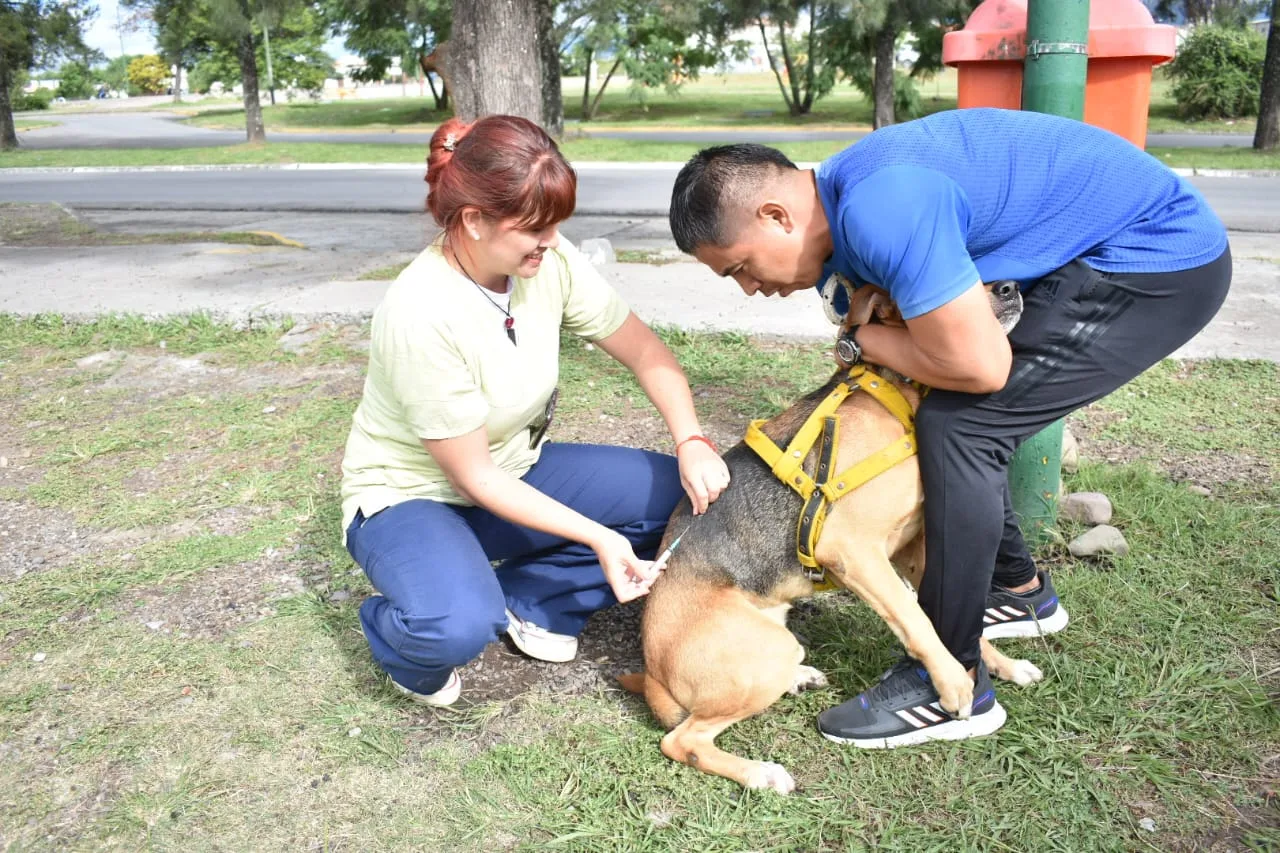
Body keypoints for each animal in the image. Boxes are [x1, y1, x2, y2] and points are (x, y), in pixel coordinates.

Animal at [619, 279, 1039, 788]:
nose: (1011, 287)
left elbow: (954, 619)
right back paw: (761, 773)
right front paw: (955, 682)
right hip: (766, 652)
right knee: (683, 741)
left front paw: (1002, 666)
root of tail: (652, 675)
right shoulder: (853, 549)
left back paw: (799, 678)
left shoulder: (914, 551)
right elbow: (916, 620)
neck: (897, 392)